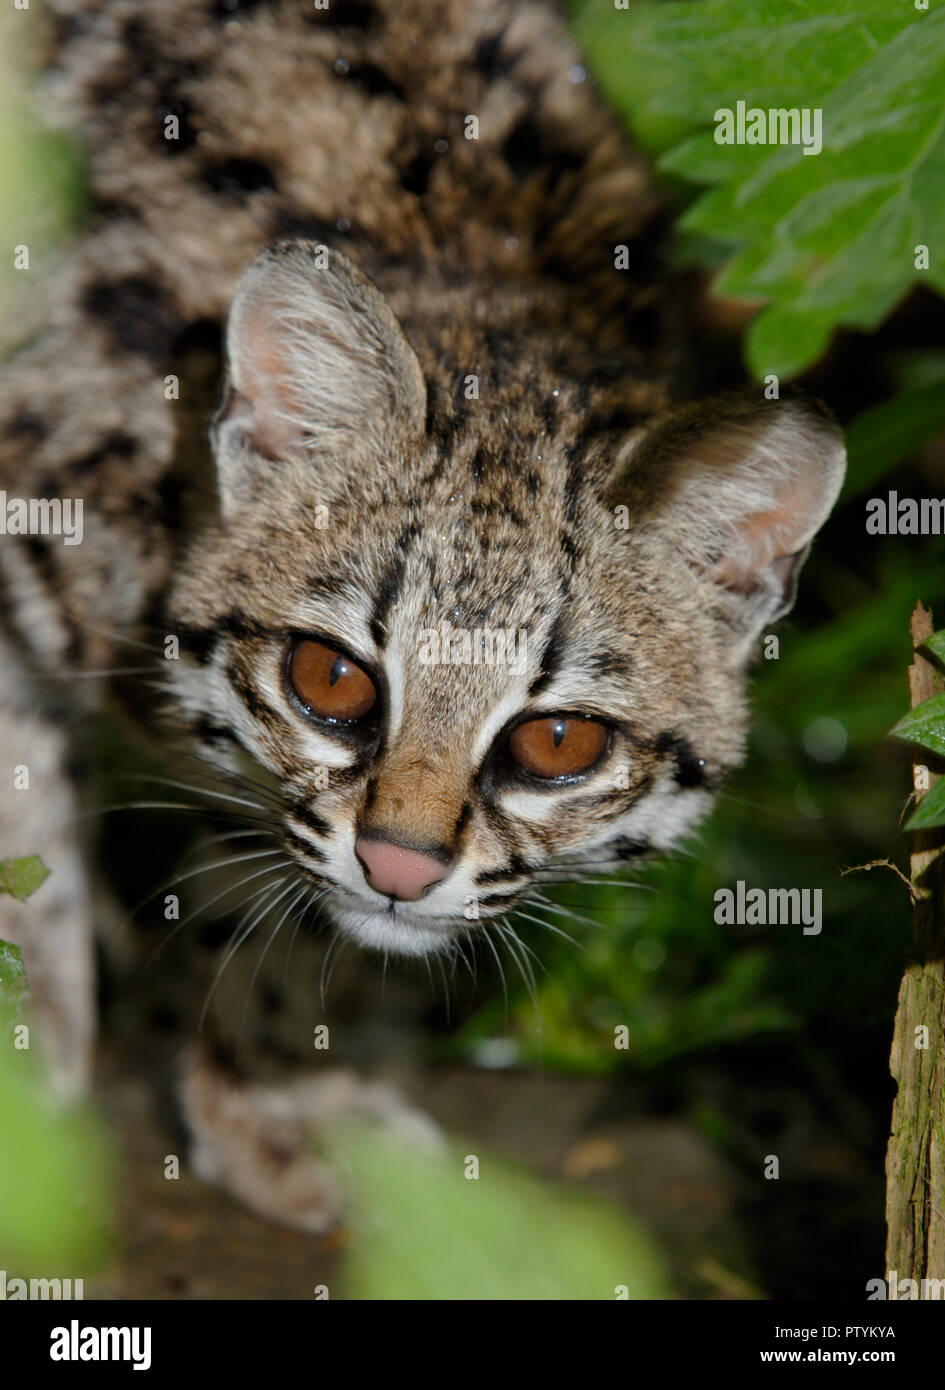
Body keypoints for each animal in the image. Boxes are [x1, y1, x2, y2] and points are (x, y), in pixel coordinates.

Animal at [0, 0, 839, 1228]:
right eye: (332, 679)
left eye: (557, 741)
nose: (399, 870)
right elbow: (20, 808)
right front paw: (23, 1059)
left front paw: (277, 1085)